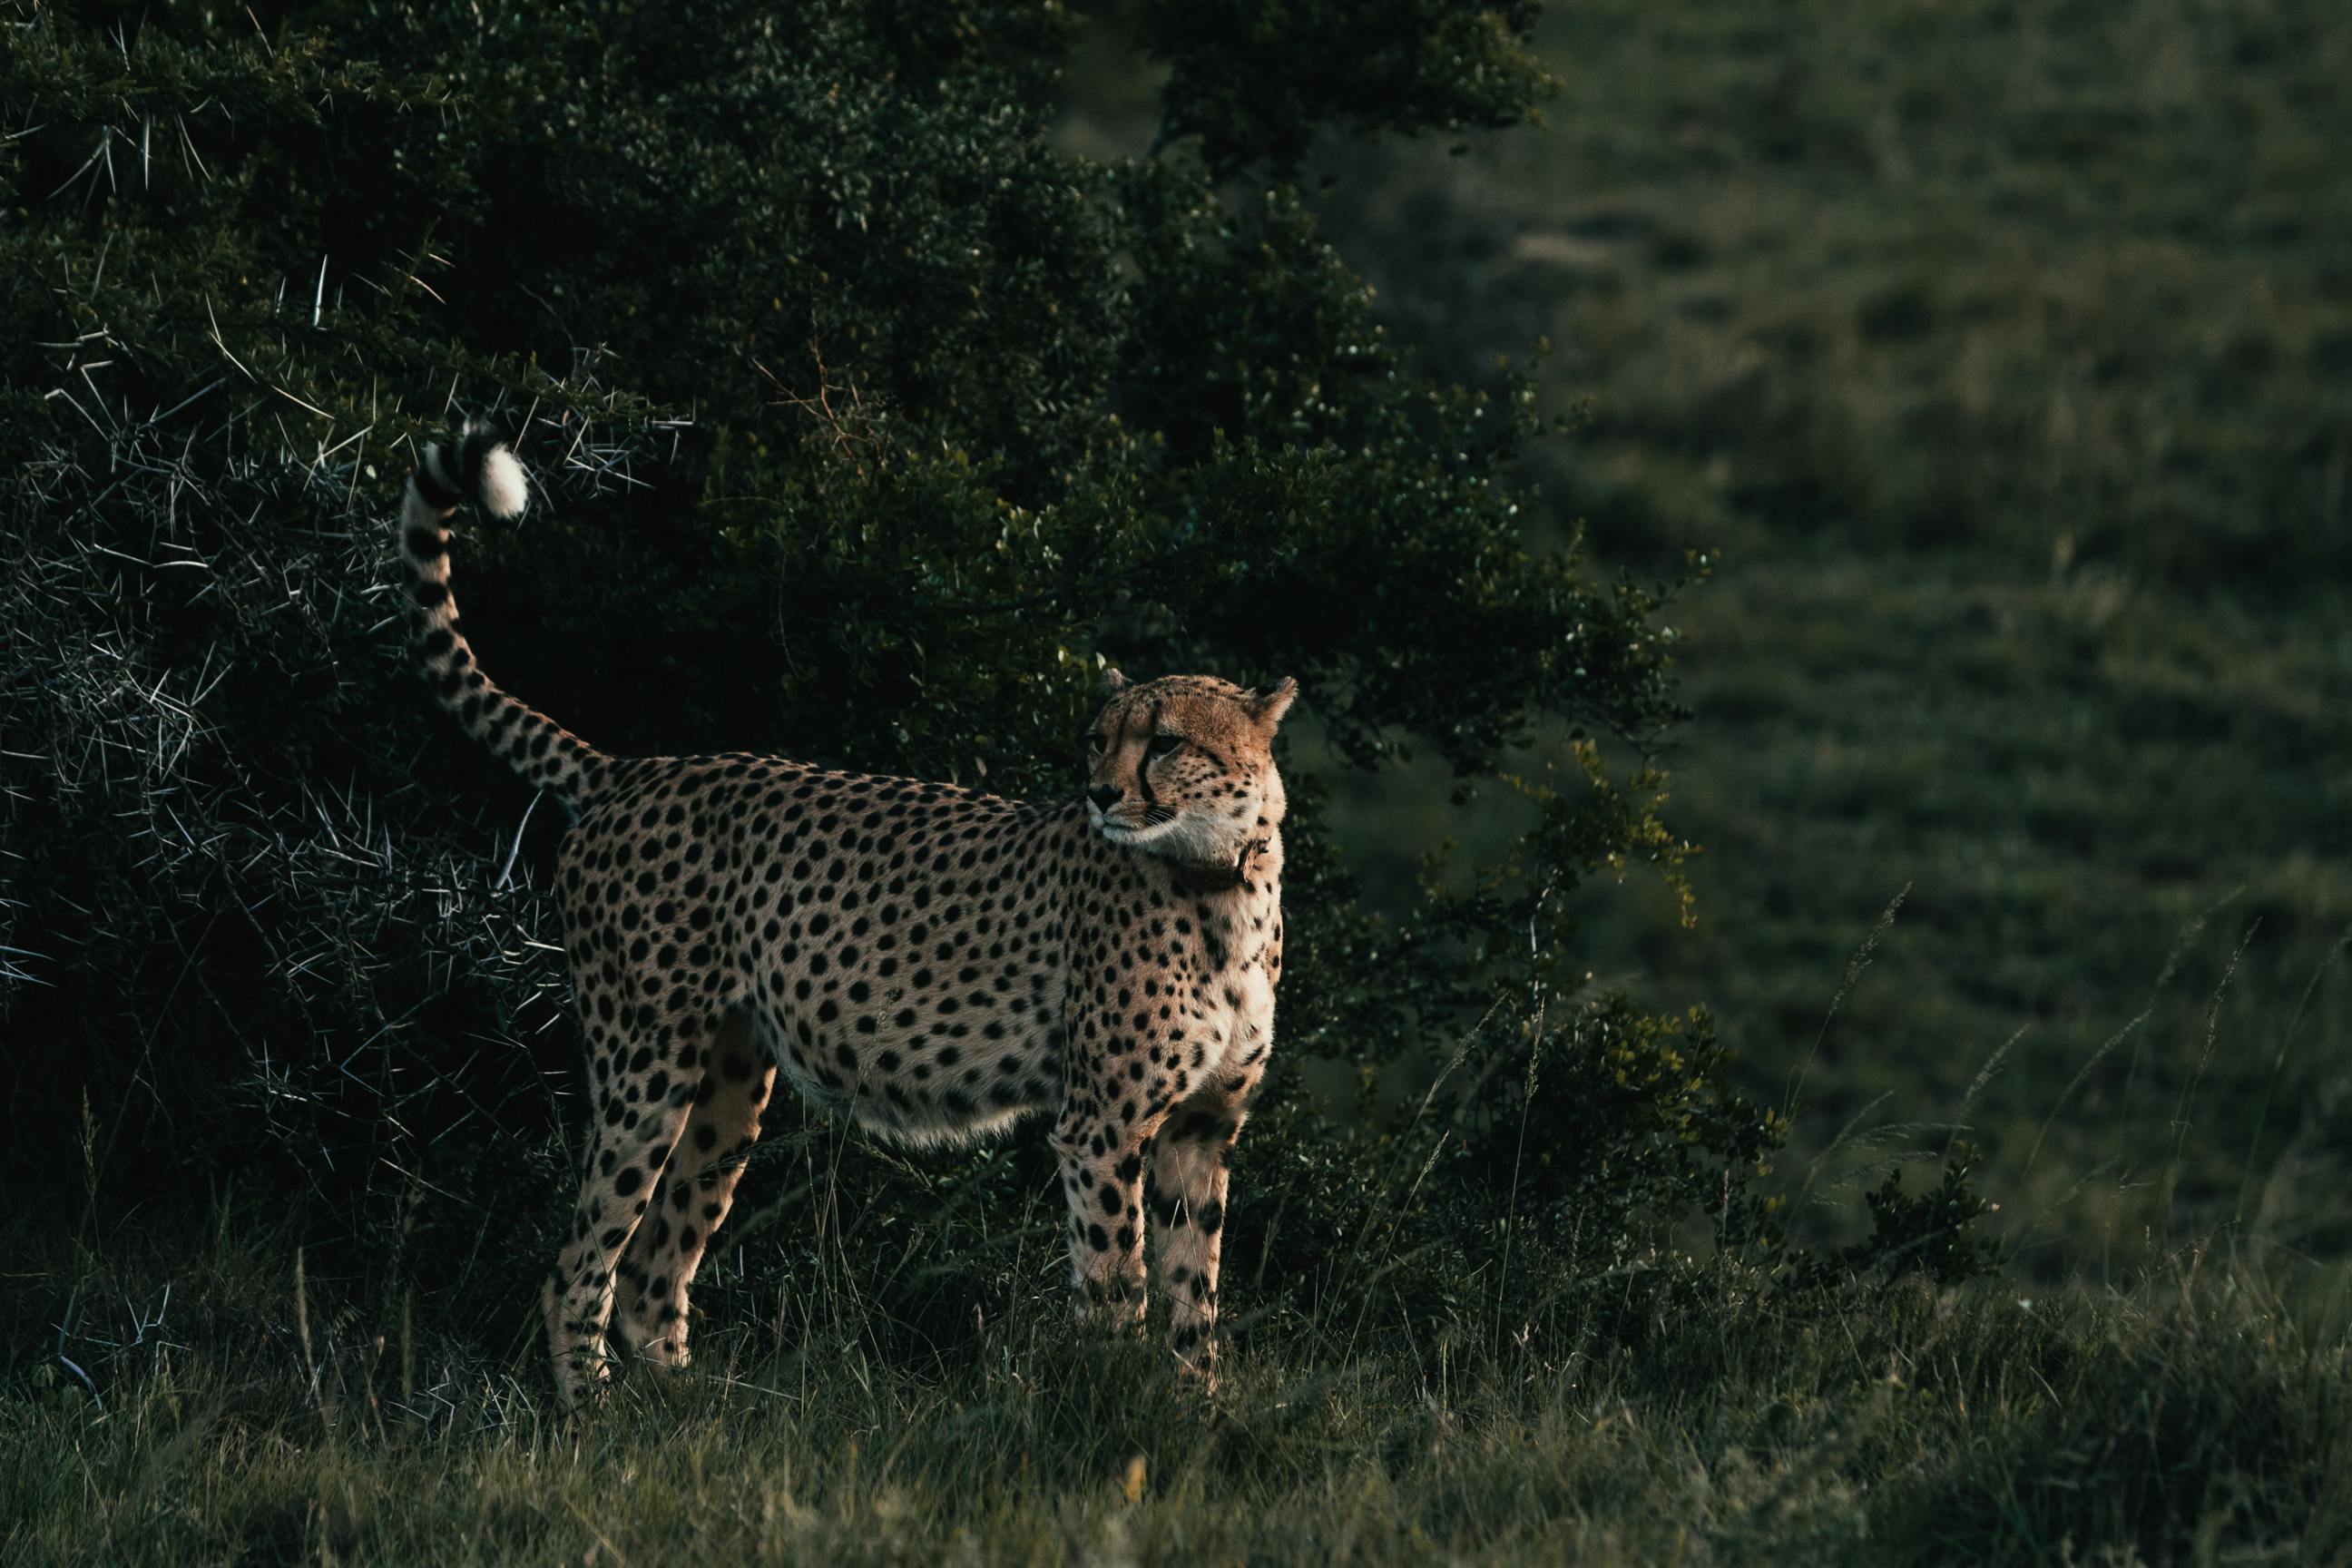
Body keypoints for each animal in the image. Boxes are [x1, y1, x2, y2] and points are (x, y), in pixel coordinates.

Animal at [395, 430, 1298, 1410]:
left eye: (1164, 743)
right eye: (1099, 741)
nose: (1098, 793)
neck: (1221, 881)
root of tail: (632, 770)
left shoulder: (1201, 1130)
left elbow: (1194, 1295)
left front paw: (1198, 1408)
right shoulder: (1102, 1125)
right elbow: (1116, 1286)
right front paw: (1112, 1400)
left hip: (727, 1086)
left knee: (652, 1267)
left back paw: (691, 1410)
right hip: (646, 1060)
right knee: (580, 1263)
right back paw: (593, 1411)